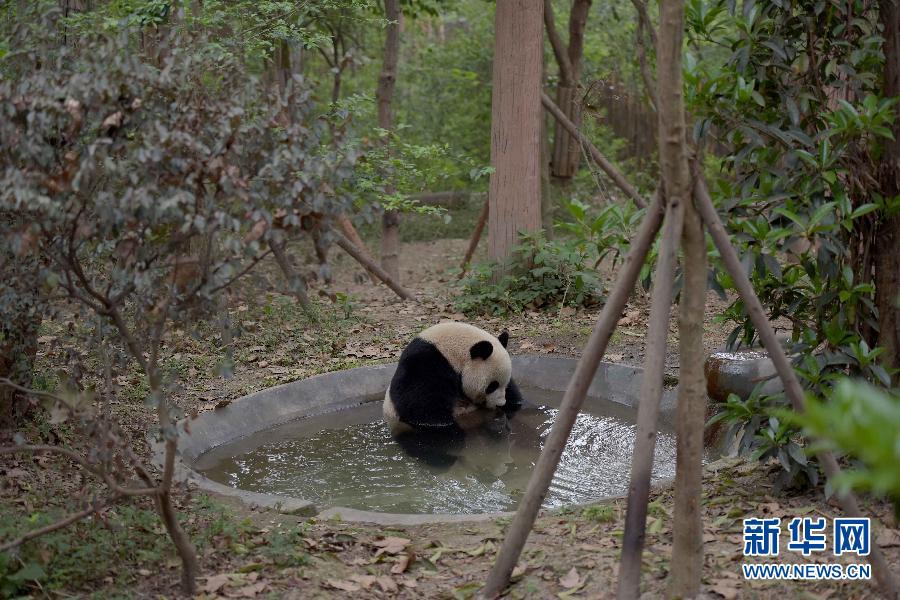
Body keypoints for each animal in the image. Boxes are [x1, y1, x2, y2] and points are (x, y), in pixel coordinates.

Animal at [384, 324, 524, 468]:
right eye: (492, 386)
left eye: (504, 384)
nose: (500, 404)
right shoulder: (424, 365)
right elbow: (422, 409)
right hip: (405, 429)